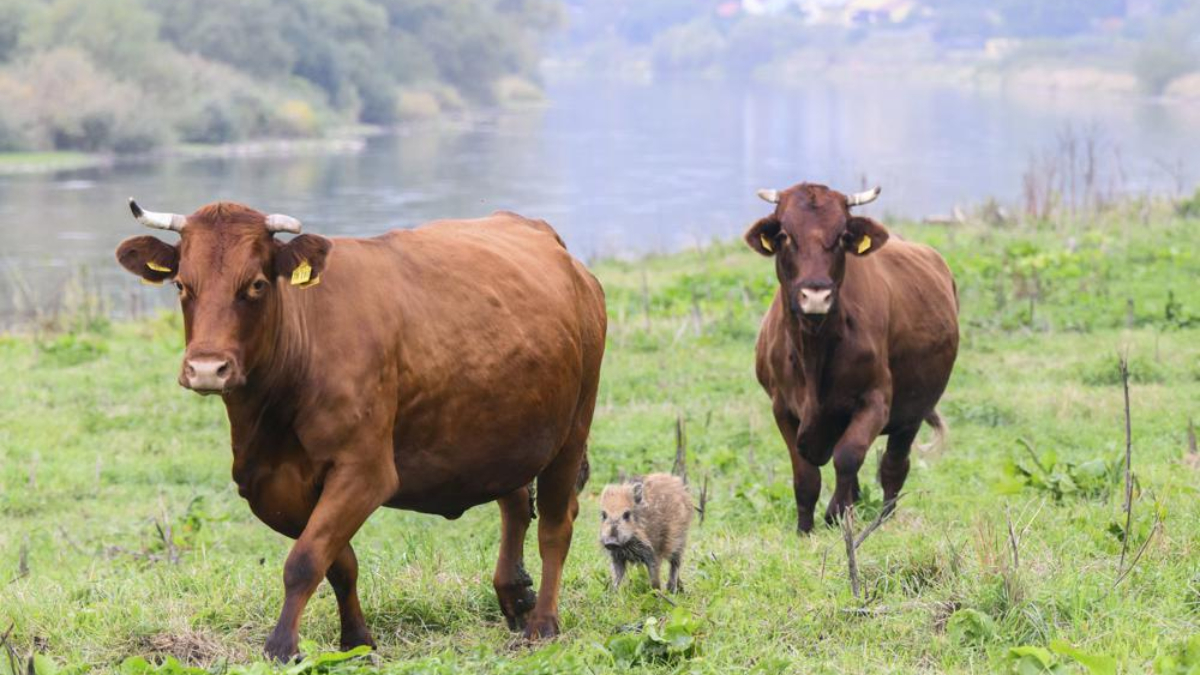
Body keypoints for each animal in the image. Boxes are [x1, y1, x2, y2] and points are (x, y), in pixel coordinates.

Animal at [114, 199, 609, 658]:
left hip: (573, 427)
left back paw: (542, 622)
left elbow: (305, 560)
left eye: (255, 283)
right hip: (503, 431)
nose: (206, 369)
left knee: (556, 524)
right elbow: (338, 562)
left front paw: (281, 646)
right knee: (515, 500)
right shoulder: (268, 483)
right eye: (182, 284)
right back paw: (514, 592)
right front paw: (356, 639)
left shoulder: (365, 470)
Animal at [744, 182, 960, 530]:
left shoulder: (875, 399)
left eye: (842, 235)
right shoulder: (782, 407)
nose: (815, 294)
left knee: (893, 465)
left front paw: (836, 514)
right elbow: (805, 475)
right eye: (785, 235)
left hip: (913, 411)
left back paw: (883, 519)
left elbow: (848, 456)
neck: (814, 351)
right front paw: (804, 529)